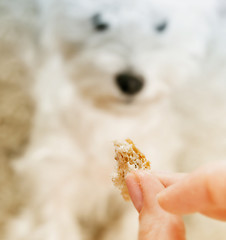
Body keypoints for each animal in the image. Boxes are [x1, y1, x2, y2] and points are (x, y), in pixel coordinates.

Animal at [1, 0, 226, 239]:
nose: (131, 82)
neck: (111, 118)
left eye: (161, 25)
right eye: (99, 21)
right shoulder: (53, 178)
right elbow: (51, 223)